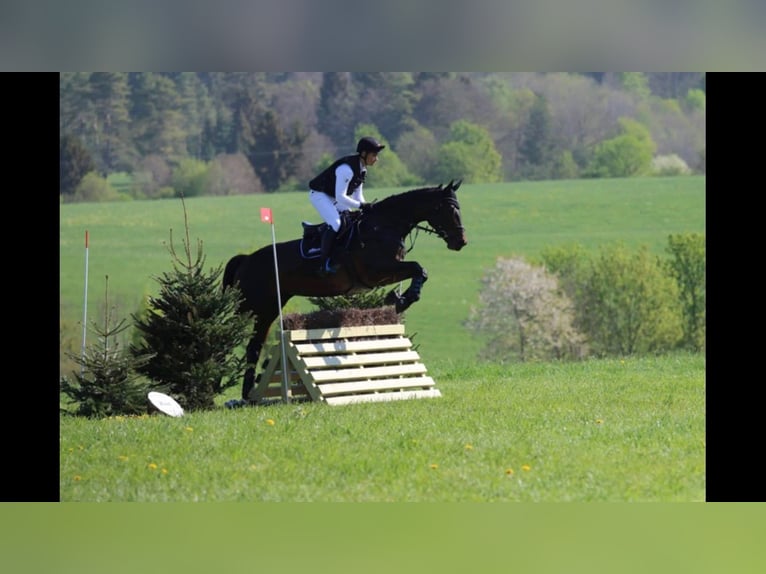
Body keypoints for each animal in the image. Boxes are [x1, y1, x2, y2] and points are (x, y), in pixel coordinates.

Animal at [222, 179, 468, 400]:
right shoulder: (376, 271)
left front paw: (400, 297)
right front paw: (402, 299)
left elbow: (420, 271)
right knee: (235, 334)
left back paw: (248, 393)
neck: (384, 226)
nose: (461, 242)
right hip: (253, 306)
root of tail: (247, 260)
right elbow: (418, 268)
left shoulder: (388, 271)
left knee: (254, 345)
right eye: (450, 210)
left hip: (269, 308)